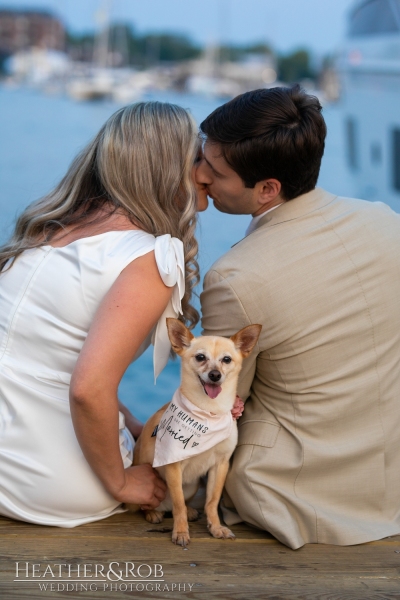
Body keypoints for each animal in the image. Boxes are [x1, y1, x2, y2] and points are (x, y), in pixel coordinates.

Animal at [133, 318, 260, 548]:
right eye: (200, 357)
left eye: (226, 359)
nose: (215, 375)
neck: (209, 412)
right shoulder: (174, 467)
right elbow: (178, 506)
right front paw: (181, 532)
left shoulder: (220, 465)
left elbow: (211, 501)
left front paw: (216, 528)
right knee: (157, 506)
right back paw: (154, 513)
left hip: (191, 486)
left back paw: (191, 511)